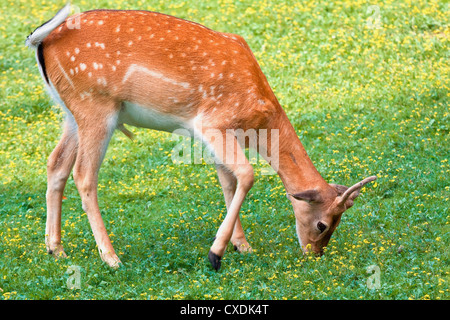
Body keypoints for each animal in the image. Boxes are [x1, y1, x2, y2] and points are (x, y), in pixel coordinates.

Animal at [25, 4, 376, 270]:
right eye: (323, 224)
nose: (315, 253)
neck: (260, 118)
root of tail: (42, 40)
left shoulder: (215, 137)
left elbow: (228, 181)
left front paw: (242, 246)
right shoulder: (212, 122)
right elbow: (247, 174)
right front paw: (215, 254)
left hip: (70, 113)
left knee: (55, 164)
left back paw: (56, 249)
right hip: (95, 105)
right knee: (84, 175)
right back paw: (111, 258)